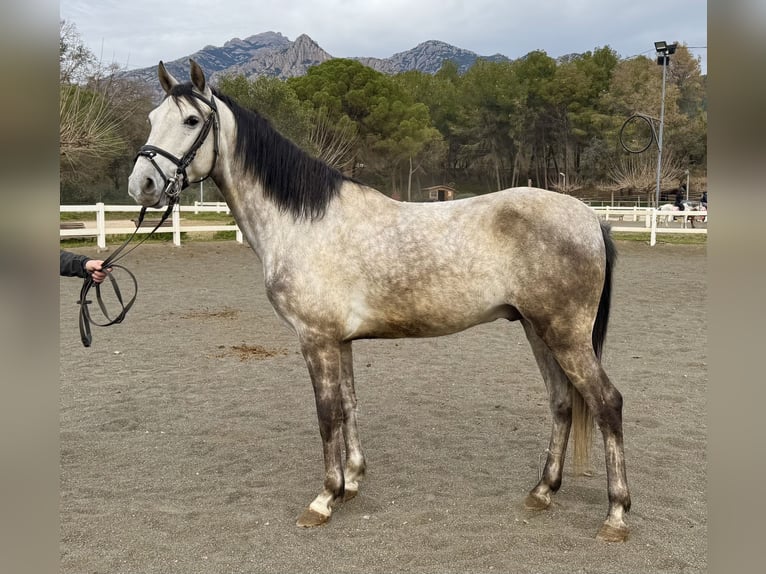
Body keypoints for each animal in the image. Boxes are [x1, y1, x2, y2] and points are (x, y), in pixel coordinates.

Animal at [126, 60, 632, 544]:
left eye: (192, 120)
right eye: (151, 119)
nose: (142, 185)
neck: (302, 222)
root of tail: (590, 217)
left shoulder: (316, 339)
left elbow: (327, 414)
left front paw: (324, 499)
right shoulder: (341, 341)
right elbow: (349, 404)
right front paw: (351, 482)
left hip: (565, 334)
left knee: (606, 403)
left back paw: (616, 515)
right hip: (536, 328)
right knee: (562, 402)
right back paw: (543, 491)